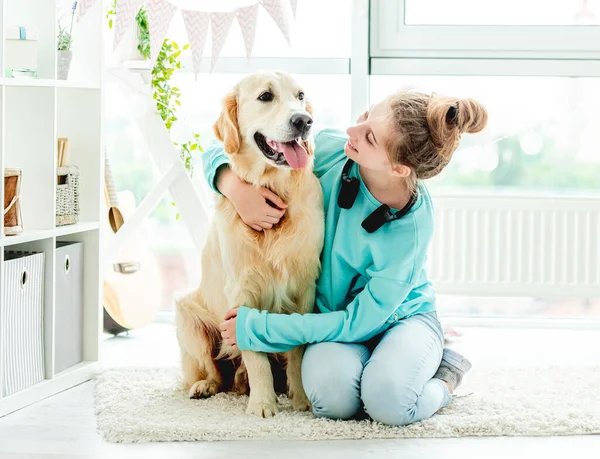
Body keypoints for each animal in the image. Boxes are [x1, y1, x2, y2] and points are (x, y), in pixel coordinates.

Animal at [176, 71, 324, 416]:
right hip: (187, 314)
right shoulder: (241, 288)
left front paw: (301, 400)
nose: (304, 121)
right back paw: (208, 386)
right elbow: (254, 355)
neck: (274, 187)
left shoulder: (305, 284)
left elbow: (298, 347)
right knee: (216, 371)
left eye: (300, 96)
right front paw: (262, 404)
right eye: (265, 97)